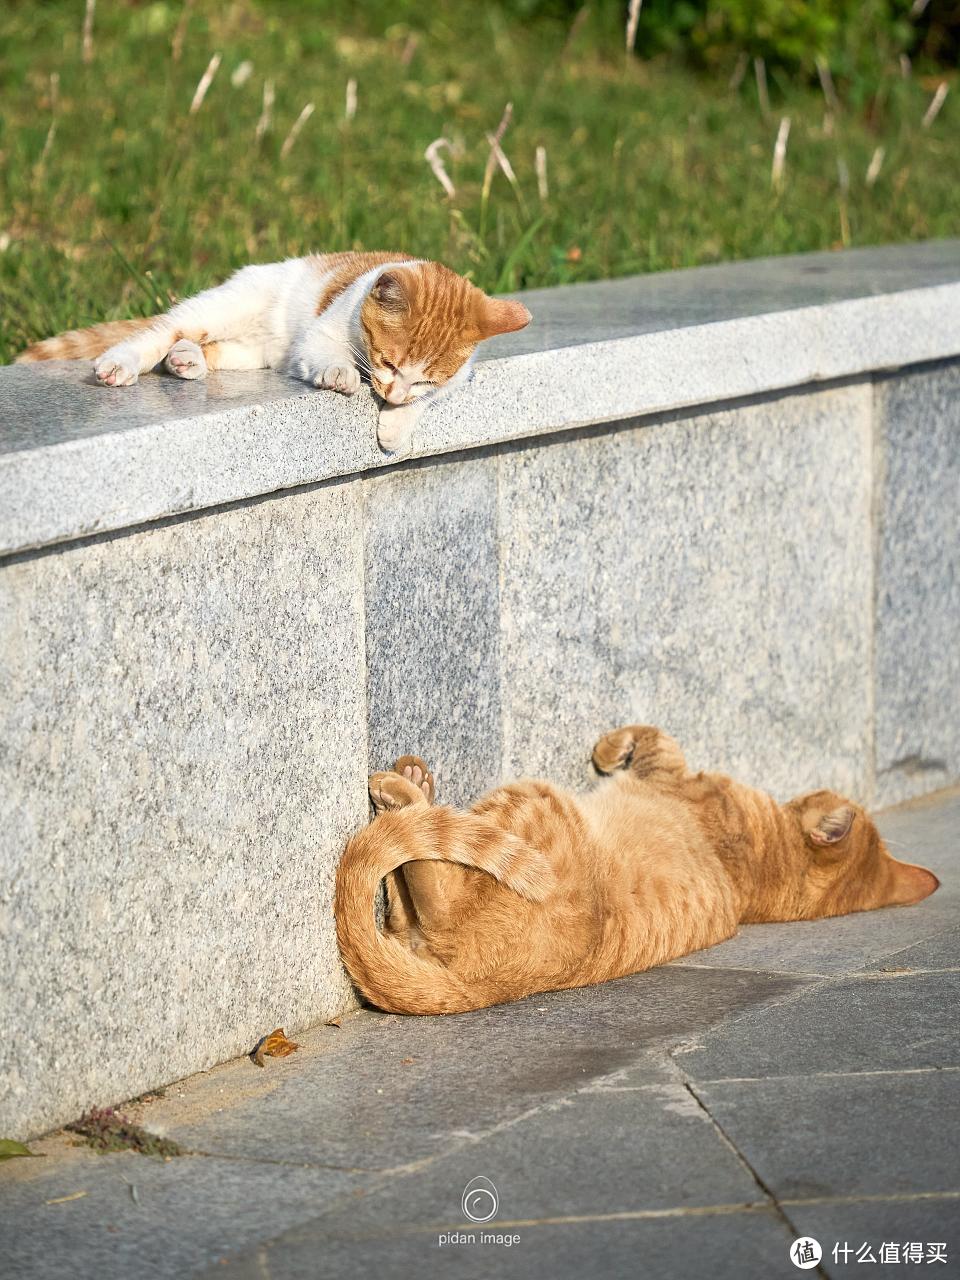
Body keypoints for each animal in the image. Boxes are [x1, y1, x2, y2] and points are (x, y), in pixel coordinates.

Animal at [15, 250, 529, 455]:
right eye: (388, 362)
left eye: (423, 377)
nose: (393, 395)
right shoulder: (319, 336)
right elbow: (329, 357)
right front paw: (344, 376)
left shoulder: (459, 377)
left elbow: (430, 400)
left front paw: (396, 424)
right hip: (224, 306)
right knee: (162, 330)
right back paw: (121, 363)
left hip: (250, 351)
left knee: (205, 347)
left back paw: (186, 360)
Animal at [335, 727, 942, 1013]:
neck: (767, 875)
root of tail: (474, 987)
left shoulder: (670, 771)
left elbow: (652, 736)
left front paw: (607, 753)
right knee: (401, 897)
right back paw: (415, 786)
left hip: (533, 801)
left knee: (432, 881)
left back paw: (404, 792)